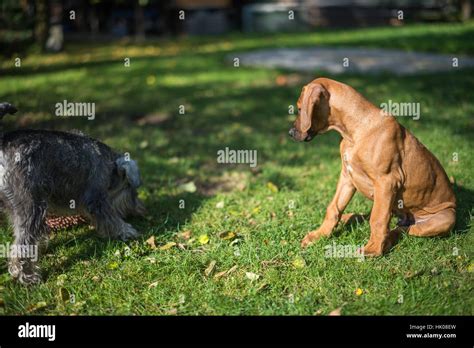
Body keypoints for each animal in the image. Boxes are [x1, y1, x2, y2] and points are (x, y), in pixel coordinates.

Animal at [0, 102, 144, 286]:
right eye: (130, 189)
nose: (138, 208)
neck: (109, 164)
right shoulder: (96, 201)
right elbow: (111, 219)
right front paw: (126, 231)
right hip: (31, 207)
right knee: (21, 245)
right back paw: (28, 276)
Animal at [288, 77, 456, 256]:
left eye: (300, 108)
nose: (290, 133)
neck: (354, 133)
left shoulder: (387, 182)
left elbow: (378, 218)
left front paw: (373, 248)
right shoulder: (347, 177)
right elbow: (334, 207)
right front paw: (319, 235)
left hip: (445, 218)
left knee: (403, 229)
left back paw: (386, 241)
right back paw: (351, 218)